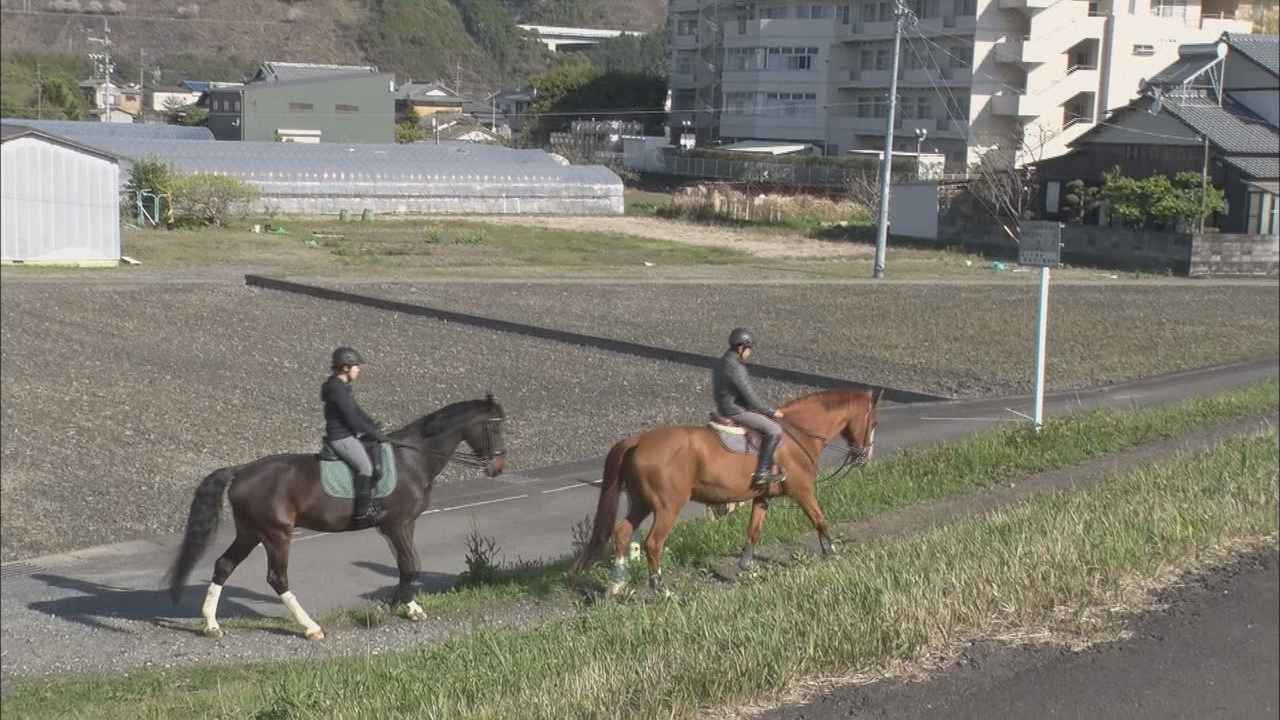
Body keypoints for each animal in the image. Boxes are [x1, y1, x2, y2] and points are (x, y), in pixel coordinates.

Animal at [167, 394, 506, 635]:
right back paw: (310, 627)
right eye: (494, 426)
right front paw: (400, 607)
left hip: (250, 532)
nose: (498, 467)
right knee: (277, 577)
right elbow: (410, 564)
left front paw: (407, 606)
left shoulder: (399, 527)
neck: (412, 460)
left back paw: (211, 625)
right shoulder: (398, 524)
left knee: (224, 565)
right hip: (276, 534)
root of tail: (241, 472)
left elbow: (407, 564)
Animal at [573, 386, 880, 594]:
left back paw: (617, 585)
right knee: (653, 543)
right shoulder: (803, 490)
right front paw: (833, 553)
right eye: (874, 422)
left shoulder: (761, 497)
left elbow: (754, 531)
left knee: (623, 533)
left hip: (641, 502)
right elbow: (819, 520)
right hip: (667, 507)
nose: (864, 455)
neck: (797, 433)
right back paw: (661, 588)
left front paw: (747, 567)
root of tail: (638, 440)